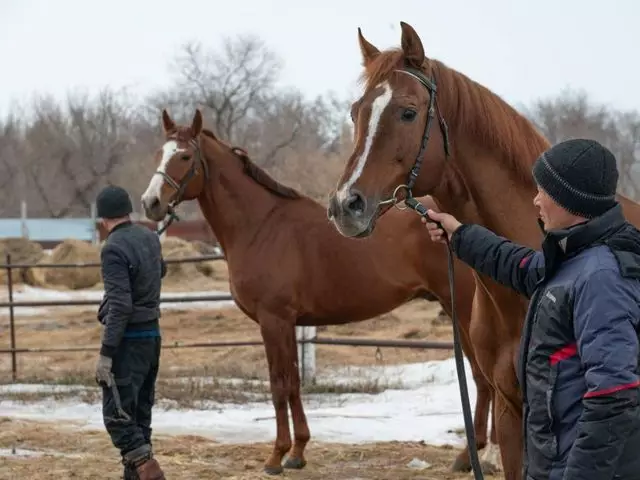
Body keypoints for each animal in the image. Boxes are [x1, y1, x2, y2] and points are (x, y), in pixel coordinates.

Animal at [140, 109, 498, 476]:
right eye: (159, 153)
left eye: (185, 157)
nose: (151, 203)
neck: (261, 226)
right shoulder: (288, 324)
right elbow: (294, 384)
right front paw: (297, 452)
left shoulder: (274, 320)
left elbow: (279, 385)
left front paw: (276, 457)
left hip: (463, 309)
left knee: (484, 376)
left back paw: (482, 455)